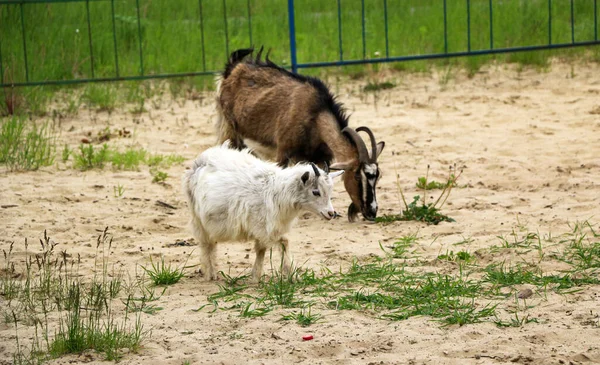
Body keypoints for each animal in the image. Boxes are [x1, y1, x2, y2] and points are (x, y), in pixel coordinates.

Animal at [182, 142, 342, 282]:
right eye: (316, 192)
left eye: (330, 191)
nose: (331, 213)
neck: (277, 192)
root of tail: (201, 160)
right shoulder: (262, 226)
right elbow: (283, 242)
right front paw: (292, 275)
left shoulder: (266, 228)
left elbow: (262, 249)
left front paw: (256, 276)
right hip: (198, 219)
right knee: (206, 245)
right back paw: (210, 274)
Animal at [216, 47, 384, 220]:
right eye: (357, 175)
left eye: (377, 176)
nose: (372, 211)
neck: (316, 115)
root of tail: (233, 69)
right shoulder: (283, 150)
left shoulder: (319, 157)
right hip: (230, 129)